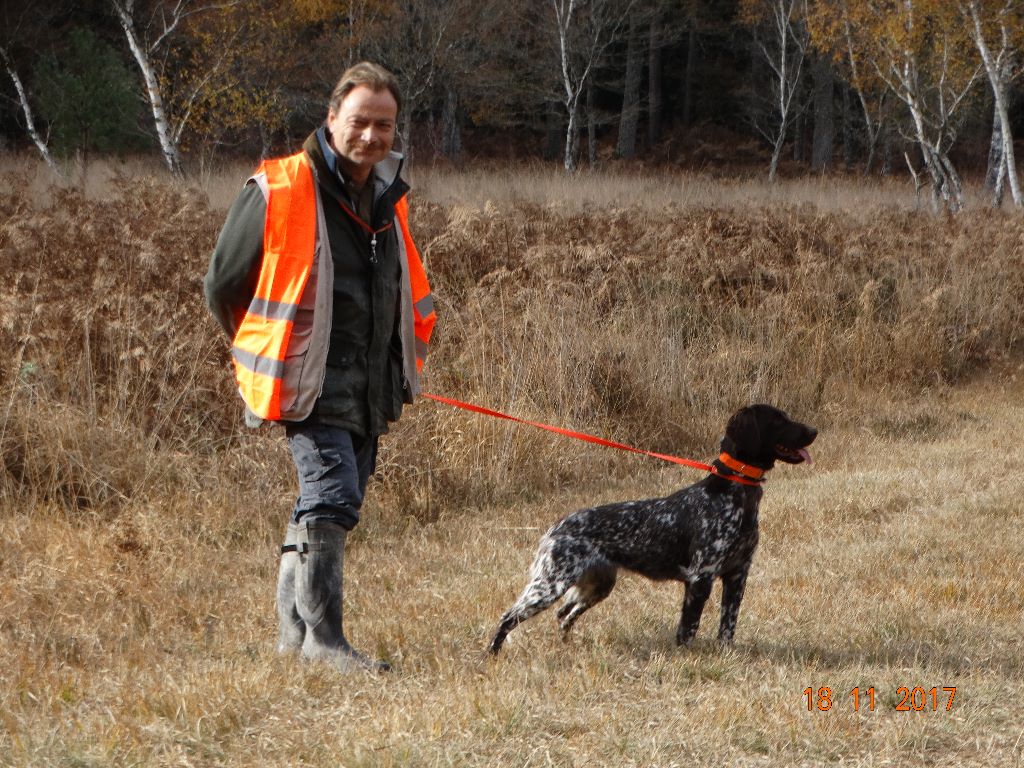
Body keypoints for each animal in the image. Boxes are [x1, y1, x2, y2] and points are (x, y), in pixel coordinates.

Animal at [487, 403, 815, 655]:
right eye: (778, 419)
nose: (814, 431)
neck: (734, 494)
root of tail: (555, 529)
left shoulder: (737, 574)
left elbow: (727, 626)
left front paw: (726, 654)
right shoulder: (701, 577)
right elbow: (688, 629)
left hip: (597, 585)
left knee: (563, 614)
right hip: (549, 585)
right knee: (508, 617)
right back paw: (491, 655)